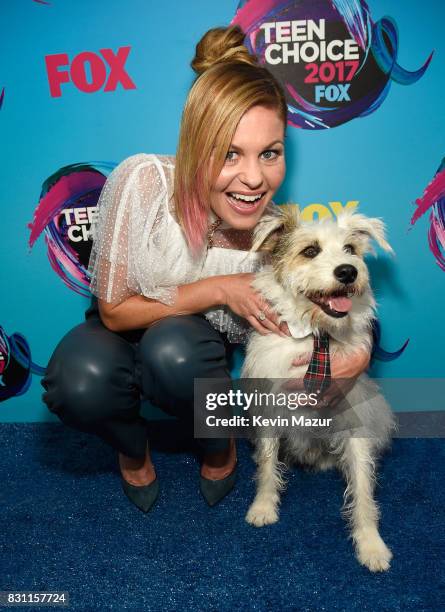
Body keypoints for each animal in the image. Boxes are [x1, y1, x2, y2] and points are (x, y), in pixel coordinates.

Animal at [241, 207, 398, 572]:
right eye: (310, 251)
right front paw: (264, 506)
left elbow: (363, 485)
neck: (317, 335)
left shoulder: (354, 417)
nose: (348, 271)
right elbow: (267, 464)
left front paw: (370, 543)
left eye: (351, 250)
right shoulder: (269, 408)